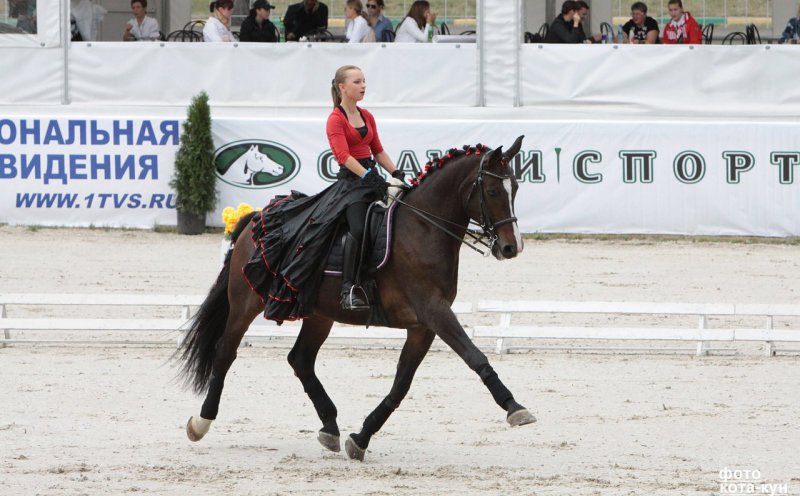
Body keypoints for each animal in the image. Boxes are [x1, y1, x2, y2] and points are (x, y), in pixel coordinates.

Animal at [178, 136, 536, 462]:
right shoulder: (434, 311)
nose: (512, 247)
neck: (424, 227)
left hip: (319, 314)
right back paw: (200, 422)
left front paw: (361, 438)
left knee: (300, 360)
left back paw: (330, 428)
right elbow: (475, 357)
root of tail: (255, 217)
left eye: (516, 188)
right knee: (226, 352)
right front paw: (514, 407)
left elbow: (400, 385)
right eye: (492, 192)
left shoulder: (423, 326)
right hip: (245, 303)